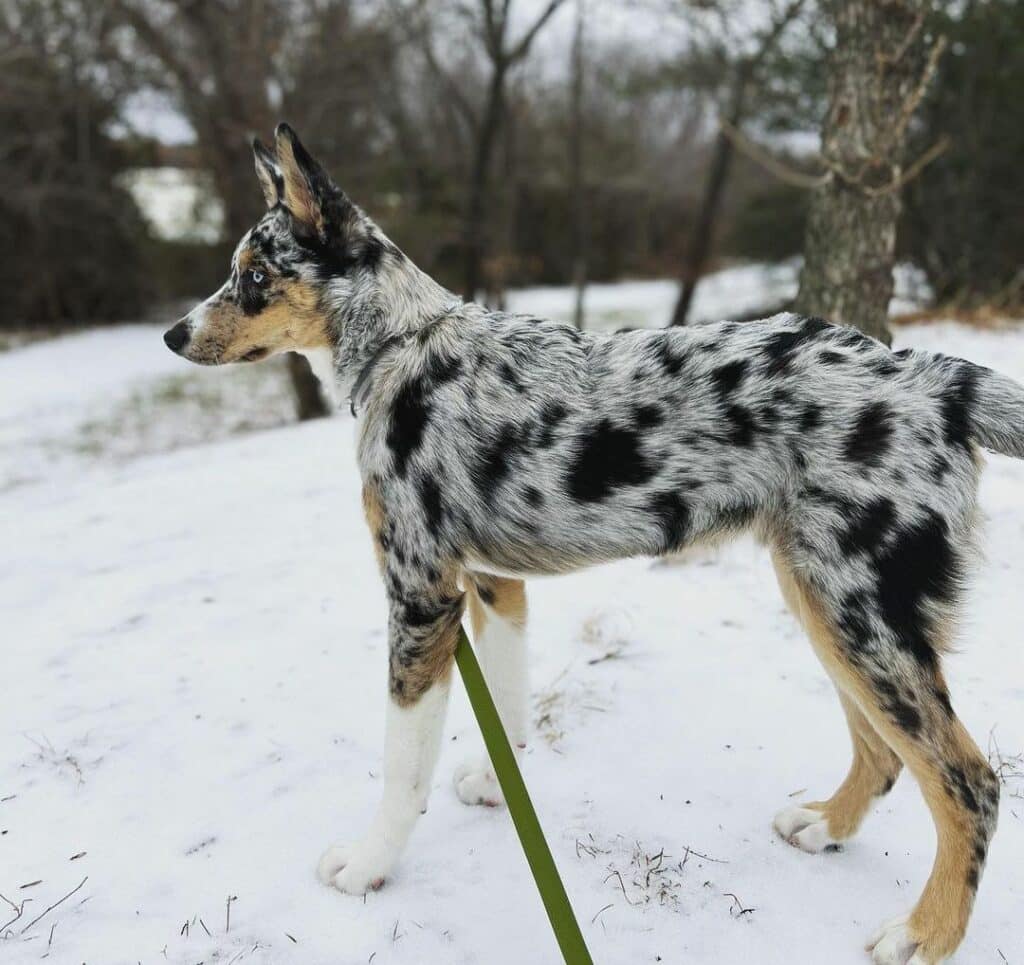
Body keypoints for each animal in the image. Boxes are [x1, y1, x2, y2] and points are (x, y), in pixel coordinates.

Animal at [161, 122, 1015, 965]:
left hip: (860, 613)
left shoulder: (421, 597)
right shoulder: (491, 586)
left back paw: (923, 934)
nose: (172, 334)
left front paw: (370, 864)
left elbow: (404, 765)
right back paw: (825, 826)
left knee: (968, 779)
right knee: (885, 753)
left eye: (252, 275)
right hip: (823, 601)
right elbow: (508, 701)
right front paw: (494, 785)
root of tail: (933, 377)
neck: (403, 349)